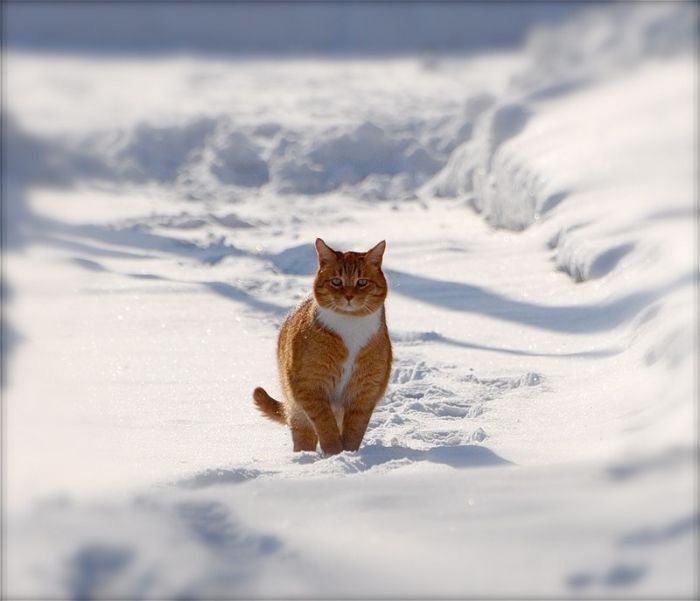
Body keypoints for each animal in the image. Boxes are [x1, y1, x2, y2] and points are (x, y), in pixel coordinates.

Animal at [253, 237, 394, 452]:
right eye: (336, 281)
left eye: (362, 282)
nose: (349, 296)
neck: (350, 324)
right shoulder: (310, 386)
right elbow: (325, 424)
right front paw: (335, 453)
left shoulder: (365, 390)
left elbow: (355, 430)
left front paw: (349, 454)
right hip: (296, 408)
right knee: (304, 433)